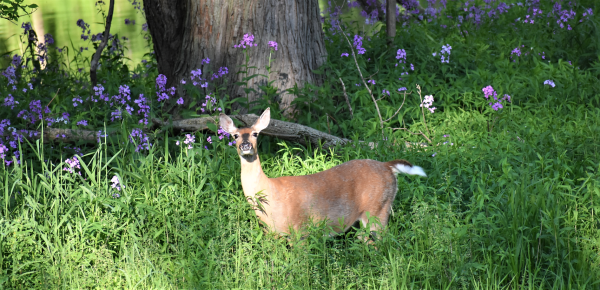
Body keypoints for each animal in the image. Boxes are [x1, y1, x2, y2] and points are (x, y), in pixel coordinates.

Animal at [218, 107, 424, 241]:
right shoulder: (274, 234)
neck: (268, 194)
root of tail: (388, 166)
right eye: (235, 135)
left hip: (377, 209)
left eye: (255, 134)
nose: (245, 146)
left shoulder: (299, 230)